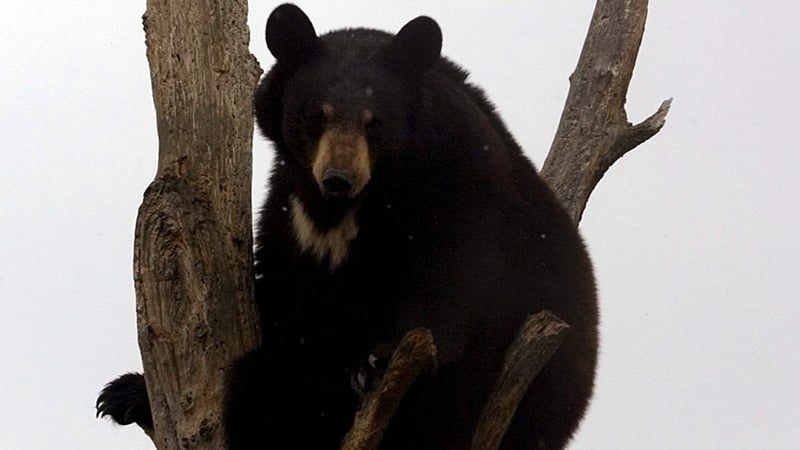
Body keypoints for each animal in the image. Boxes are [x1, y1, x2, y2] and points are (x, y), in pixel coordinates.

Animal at [97, 4, 598, 449]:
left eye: (375, 123)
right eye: (315, 116)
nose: (338, 178)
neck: (348, 206)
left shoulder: (461, 183)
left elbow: (455, 277)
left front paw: (378, 359)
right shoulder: (289, 207)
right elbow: (280, 285)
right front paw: (125, 392)